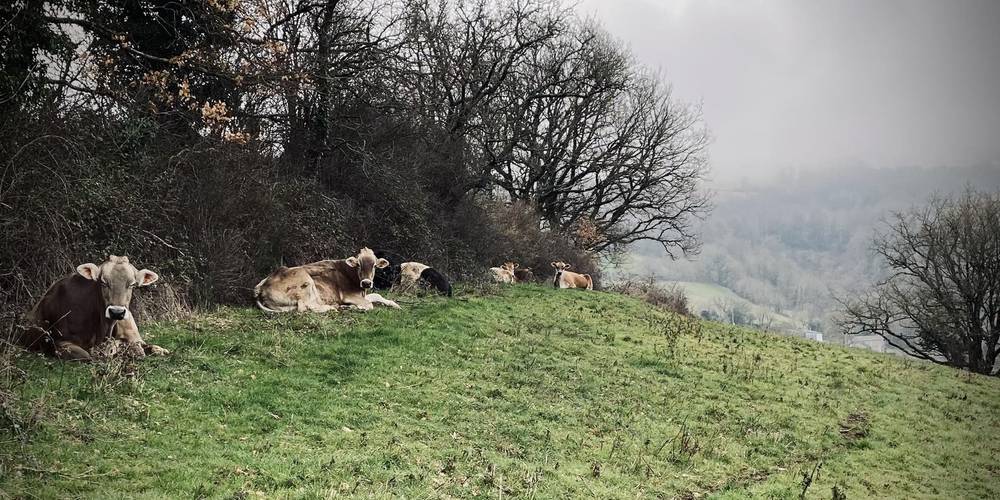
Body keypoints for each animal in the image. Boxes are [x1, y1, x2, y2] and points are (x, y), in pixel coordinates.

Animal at [254, 247, 400, 312]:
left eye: (374, 265)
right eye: (358, 264)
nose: (366, 283)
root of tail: (261, 287)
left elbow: (377, 295)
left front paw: (395, 304)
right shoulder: (349, 296)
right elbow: (369, 304)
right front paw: (353, 307)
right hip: (305, 281)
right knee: (306, 307)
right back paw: (335, 307)